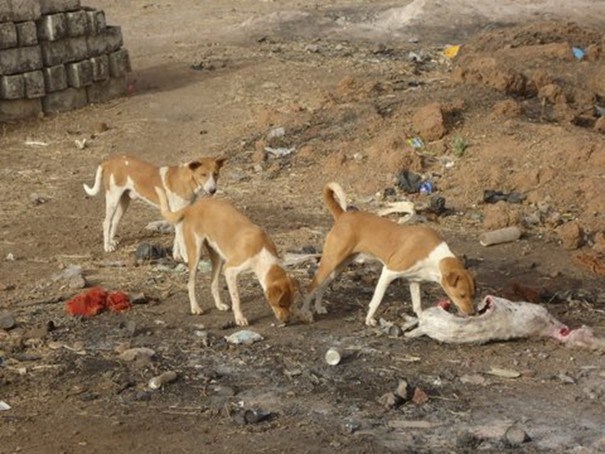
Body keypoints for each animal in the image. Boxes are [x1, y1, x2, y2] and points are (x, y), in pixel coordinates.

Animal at [82, 154, 224, 258]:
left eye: (216, 174)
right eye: (203, 174)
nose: (213, 190)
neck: (186, 180)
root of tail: (109, 161)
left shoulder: (178, 216)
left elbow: (177, 239)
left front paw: (176, 255)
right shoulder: (178, 216)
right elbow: (181, 240)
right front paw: (185, 257)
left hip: (124, 202)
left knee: (115, 221)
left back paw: (112, 241)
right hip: (112, 199)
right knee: (106, 222)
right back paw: (107, 246)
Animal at [155, 186, 298, 324]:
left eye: (291, 303)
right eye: (281, 304)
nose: (288, 320)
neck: (261, 252)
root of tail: (194, 206)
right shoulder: (230, 270)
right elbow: (236, 298)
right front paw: (239, 318)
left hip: (218, 259)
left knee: (213, 284)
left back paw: (219, 305)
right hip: (195, 255)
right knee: (191, 284)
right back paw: (195, 308)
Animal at [300, 183, 474, 324]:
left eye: (473, 294)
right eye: (461, 295)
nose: (472, 313)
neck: (435, 257)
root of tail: (343, 215)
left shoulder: (414, 281)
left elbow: (417, 306)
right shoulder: (388, 272)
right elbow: (376, 300)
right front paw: (369, 320)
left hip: (339, 265)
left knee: (323, 285)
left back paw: (318, 307)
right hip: (331, 260)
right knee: (311, 286)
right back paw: (304, 313)